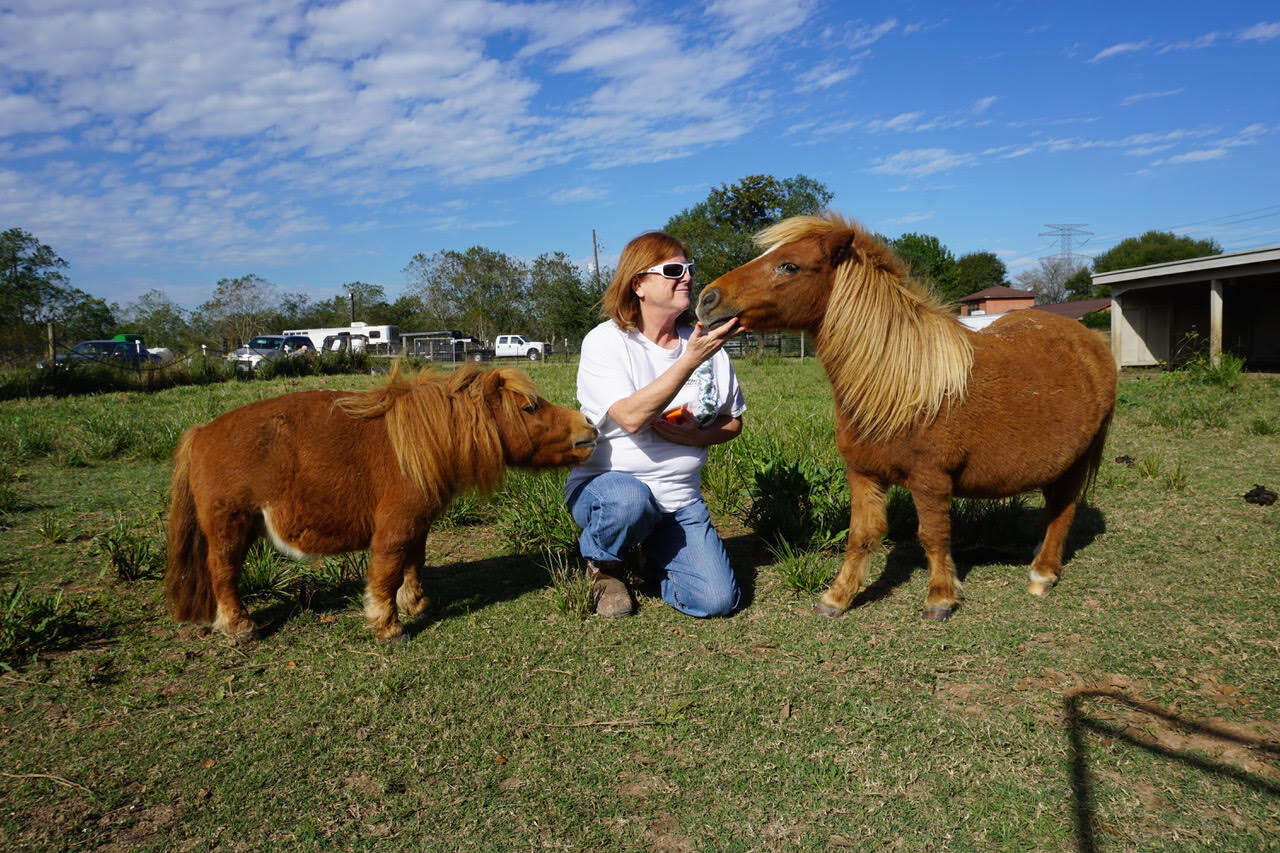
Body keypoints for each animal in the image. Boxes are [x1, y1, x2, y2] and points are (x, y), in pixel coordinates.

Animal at [166, 363, 599, 637]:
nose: (589, 428)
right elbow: (388, 569)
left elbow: (413, 562)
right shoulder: (396, 525)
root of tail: (201, 433)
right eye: (530, 407)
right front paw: (387, 624)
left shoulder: (417, 524)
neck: (419, 442)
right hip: (230, 527)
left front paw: (415, 604)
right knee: (223, 572)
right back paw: (239, 626)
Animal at [696, 208, 1116, 614]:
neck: (901, 388)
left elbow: (933, 535)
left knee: (1062, 510)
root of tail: (1092, 339)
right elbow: (861, 535)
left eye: (789, 265)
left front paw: (941, 597)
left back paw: (1042, 574)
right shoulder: (862, 474)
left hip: (1075, 463)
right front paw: (837, 598)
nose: (707, 299)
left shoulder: (931, 480)